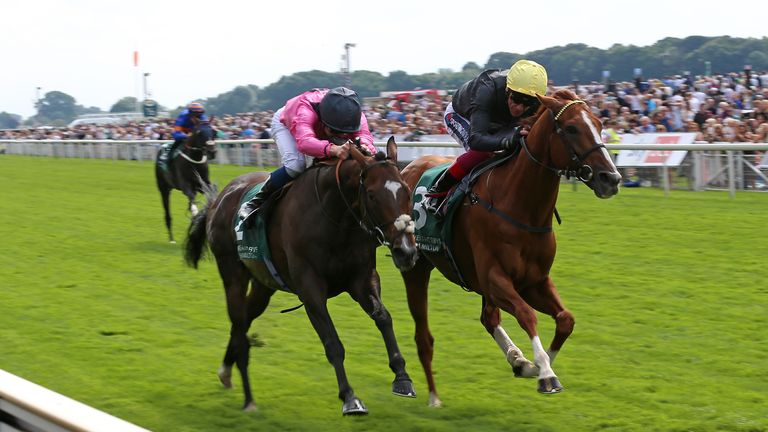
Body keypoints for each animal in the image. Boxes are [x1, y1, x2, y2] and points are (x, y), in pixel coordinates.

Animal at [182, 138, 416, 416]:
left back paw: (226, 371)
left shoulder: (362, 279)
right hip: (232, 273)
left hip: (264, 283)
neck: (336, 217)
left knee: (244, 321)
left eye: (406, 191)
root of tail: (220, 199)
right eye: (371, 194)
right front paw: (349, 398)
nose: (406, 251)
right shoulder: (310, 288)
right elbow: (333, 343)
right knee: (238, 323)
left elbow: (383, 318)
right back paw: (248, 398)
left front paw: (402, 377)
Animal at [402, 89, 624, 406]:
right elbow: (527, 315)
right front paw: (546, 373)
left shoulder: (534, 281)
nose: (612, 178)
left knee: (489, 317)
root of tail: (407, 167)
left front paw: (536, 365)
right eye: (571, 128)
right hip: (417, 267)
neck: (520, 207)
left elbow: (566, 319)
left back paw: (517, 359)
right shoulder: (495, 278)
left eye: (599, 123)